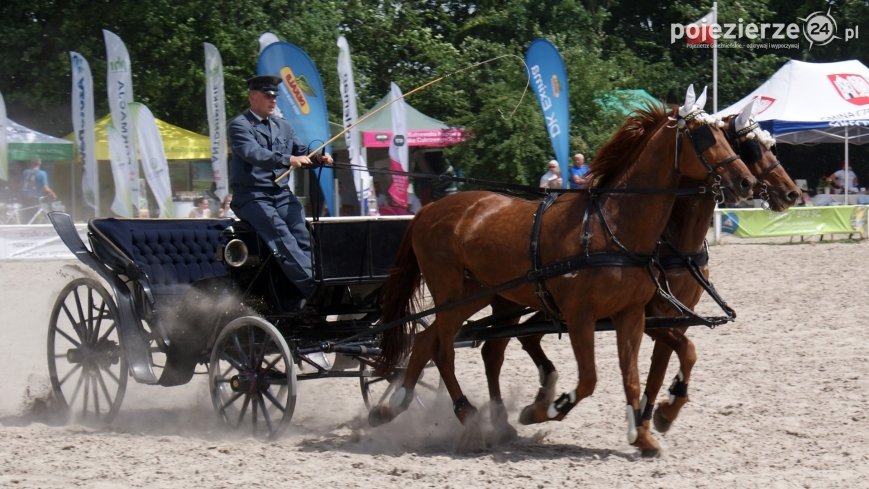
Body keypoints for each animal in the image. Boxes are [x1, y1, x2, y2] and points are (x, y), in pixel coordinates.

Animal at [370, 86, 756, 456]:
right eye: (704, 136)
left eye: (726, 135)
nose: (747, 182)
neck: (612, 226)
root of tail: (428, 209)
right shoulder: (581, 316)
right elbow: (589, 379)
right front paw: (545, 409)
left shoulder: (632, 314)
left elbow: (636, 374)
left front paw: (643, 436)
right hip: (452, 294)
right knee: (444, 349)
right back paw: (466, 415)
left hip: (479, 295)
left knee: (433, 341)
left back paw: (392, 408)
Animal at [474, 98, 800, 450]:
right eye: (750, 147)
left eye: (767, 146)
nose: (792, 193)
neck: (673, 241)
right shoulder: (653, 315)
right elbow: (682, 354)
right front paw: (662, 412)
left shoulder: (673, 315)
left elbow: (662, 368)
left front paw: (654, 416)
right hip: (513, 300)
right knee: (495, 346)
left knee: (517, 339)